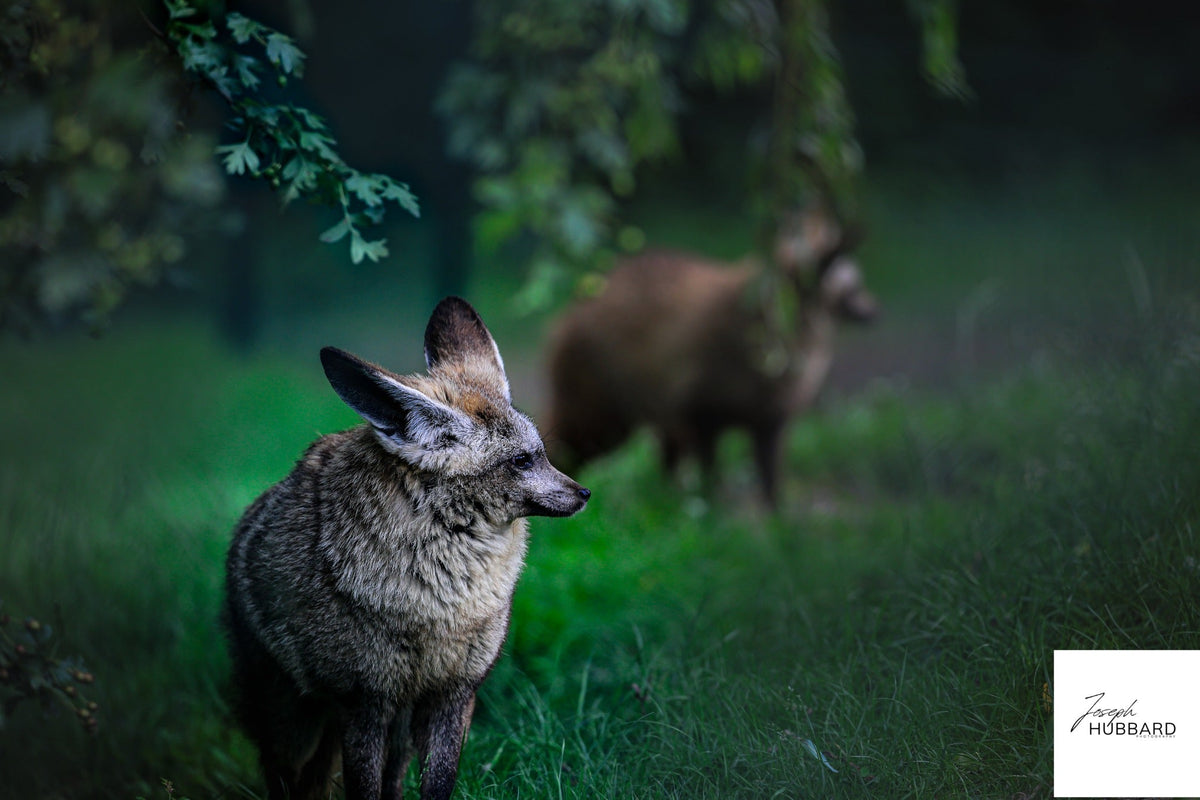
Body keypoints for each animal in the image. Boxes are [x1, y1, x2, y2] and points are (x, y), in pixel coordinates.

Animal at [224, 297, 590, 800]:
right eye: (522, 461)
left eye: (543, 454)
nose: (584, 494)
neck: (443, 602)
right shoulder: (364, 703)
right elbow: (363, 788)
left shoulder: (454, 693)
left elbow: (437, 782)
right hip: (295, 723)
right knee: (284, 774)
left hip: (390, 728)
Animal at [543, 205, 876, 506]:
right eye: (855, 283)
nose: (873, 310)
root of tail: (580, 301)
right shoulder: (702, 409)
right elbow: (710, 469)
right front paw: (714, 504)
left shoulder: (771, 416)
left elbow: (770, 474)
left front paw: (776, 516)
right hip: (598, 399)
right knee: (573, 440)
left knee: (668, 449)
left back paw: (667, 494)